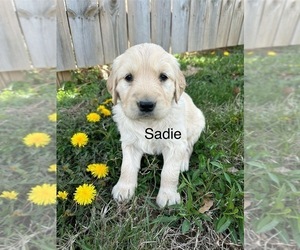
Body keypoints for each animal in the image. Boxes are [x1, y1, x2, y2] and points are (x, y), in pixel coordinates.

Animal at [106, 44, 205, 208]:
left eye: (163, 77)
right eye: (128, 77)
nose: (146, 105)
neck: (148, 123)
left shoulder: (175, 142)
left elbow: (169, 172)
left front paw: (168, 196)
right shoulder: (129, 142)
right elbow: (126, 166)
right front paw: (124, 188)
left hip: (197, 123)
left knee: (189, 145)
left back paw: (183, 161)